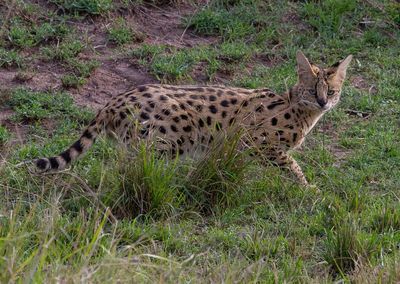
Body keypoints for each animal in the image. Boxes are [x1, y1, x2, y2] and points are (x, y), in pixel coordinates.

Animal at [33, 51, 354, 186]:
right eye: (313, 90)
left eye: (332, 91)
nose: (324, 102)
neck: (300, 110)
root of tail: (113, 101)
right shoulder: (259, 143)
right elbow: (292, 166)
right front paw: (308, 189)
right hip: (169, 136)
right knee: (130, 169)